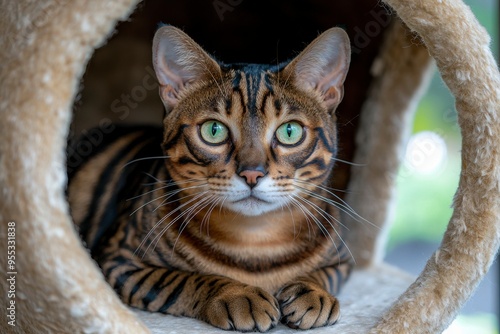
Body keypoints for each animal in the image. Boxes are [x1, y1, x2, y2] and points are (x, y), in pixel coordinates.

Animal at [67, 25, 352, 332]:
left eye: (290, 132)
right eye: (213, 130)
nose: (252, 173)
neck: (255, 245)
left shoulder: (343, 262)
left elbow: (323, 274)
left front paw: (313, 292)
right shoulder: (117, 260)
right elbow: (180, 279)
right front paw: (238, 293)